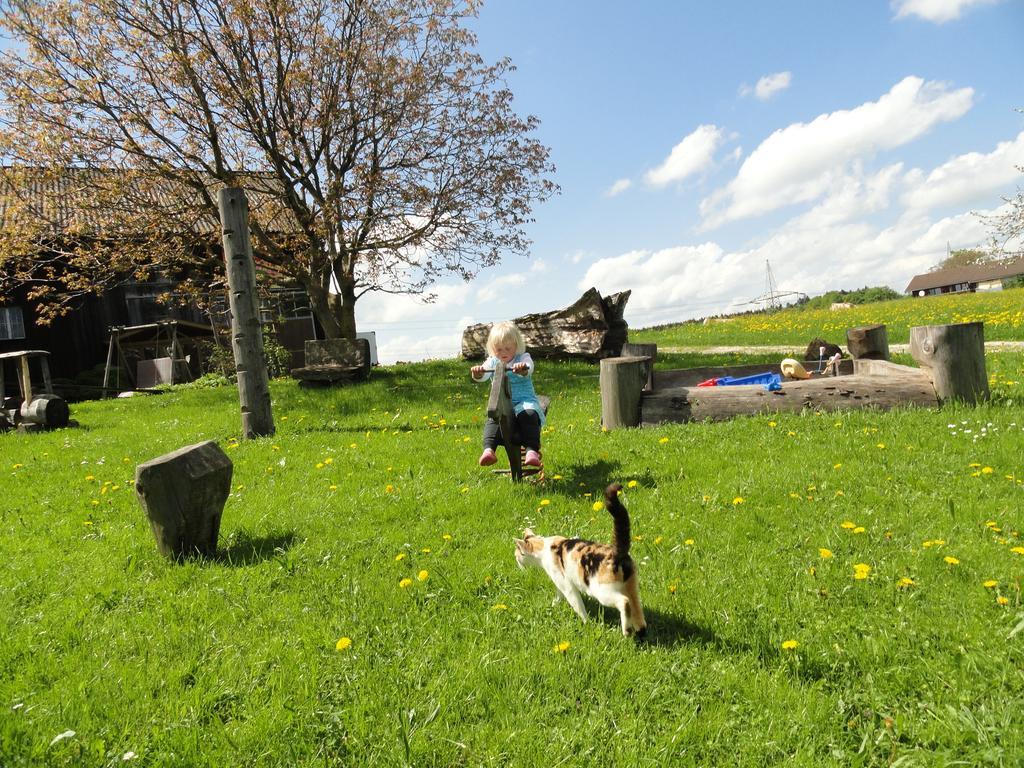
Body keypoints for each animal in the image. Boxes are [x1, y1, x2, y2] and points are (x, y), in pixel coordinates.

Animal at [516, 481, 643, 638]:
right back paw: (639, 632)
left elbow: (577, 604)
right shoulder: (562, 582)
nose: (517, 564)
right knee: (637, 611)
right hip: (632, 587)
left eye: (516, 556)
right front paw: (554, 604)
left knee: (624, 602)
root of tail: (618, 552)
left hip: (601, 591)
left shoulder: (566, 585)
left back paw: (626, 631)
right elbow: (559, 594)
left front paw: (586, 623)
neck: (543, 546)